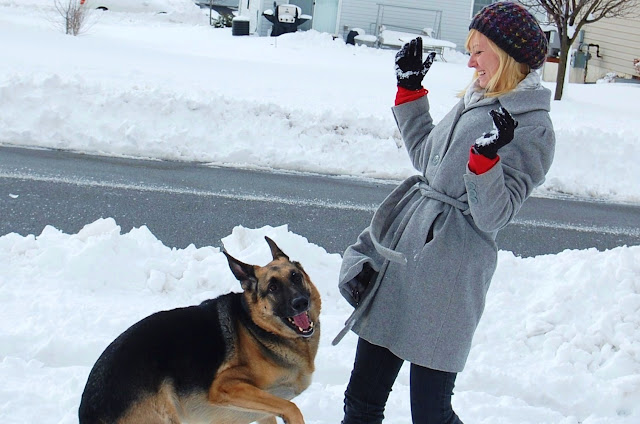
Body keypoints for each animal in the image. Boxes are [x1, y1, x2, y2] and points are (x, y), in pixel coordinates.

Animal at [79, 237, 320, 424]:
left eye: (295, 277)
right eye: (272, 288)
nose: (301, 303)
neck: (257, 327)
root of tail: (89, 409)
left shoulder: (263, 413)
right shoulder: (226, 385)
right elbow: (290, 407)